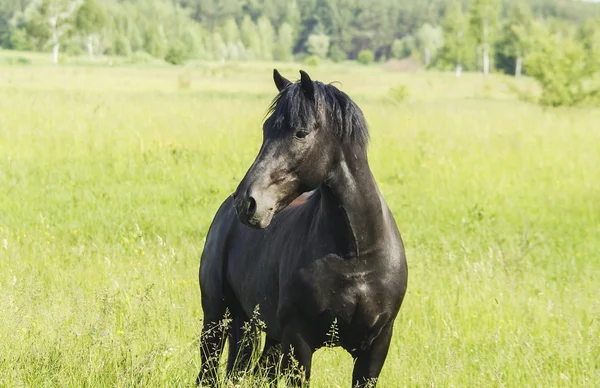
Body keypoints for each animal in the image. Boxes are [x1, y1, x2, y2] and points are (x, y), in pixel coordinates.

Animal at [197, 70, 408, 388]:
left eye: (301, 133)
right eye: (266, 130)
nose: (247, 202)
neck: (355, 252)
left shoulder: (376, 347)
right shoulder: (298, 342)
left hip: (260, 330)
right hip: (216, 316)